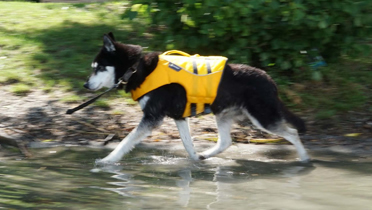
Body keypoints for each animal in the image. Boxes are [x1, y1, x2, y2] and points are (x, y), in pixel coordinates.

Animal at [85, 32, 310, 164]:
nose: (85, 85)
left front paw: (107, 161)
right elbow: (188, 145)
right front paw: (194, 161)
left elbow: (126, 141)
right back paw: (206, 155)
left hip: (263, 117)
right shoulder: (179, 117)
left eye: (99, 67)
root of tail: (270, 80)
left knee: (292, 132)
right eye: (93, 67)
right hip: (224, 116)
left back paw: (305, 159)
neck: (135, 68)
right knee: (225, 142)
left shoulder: (152, 118)